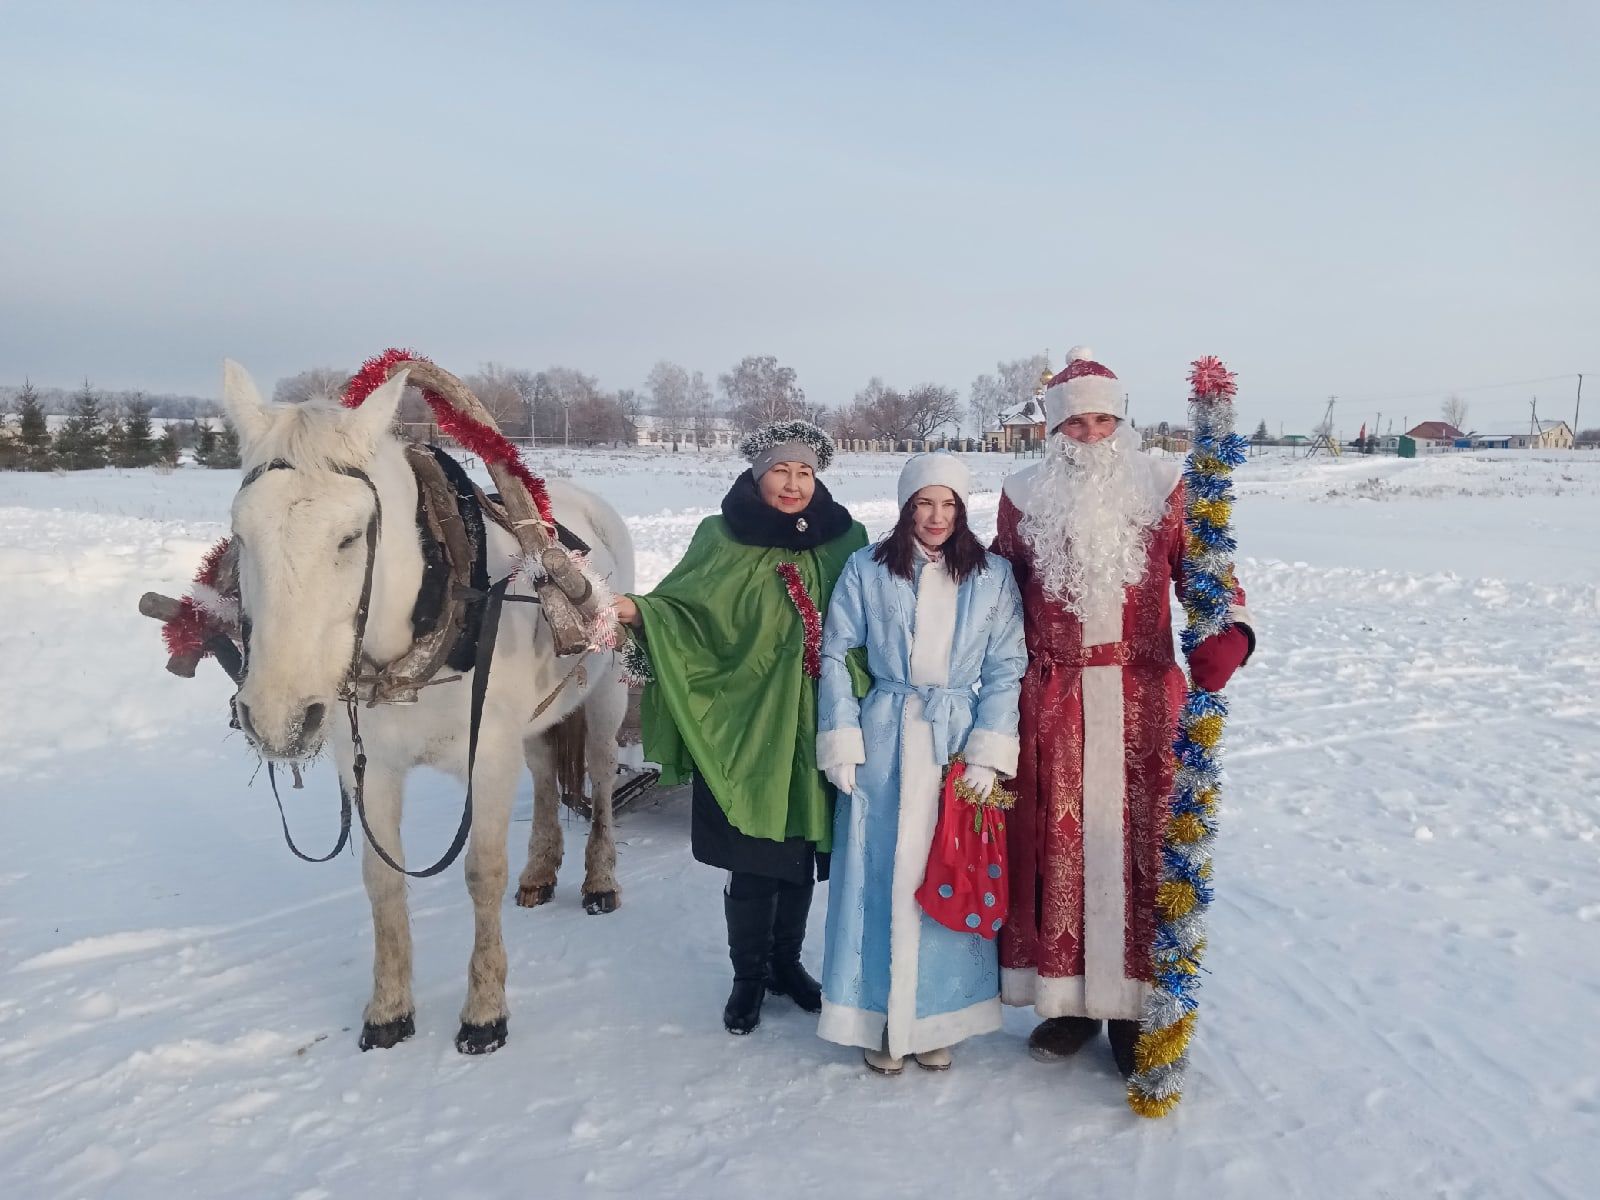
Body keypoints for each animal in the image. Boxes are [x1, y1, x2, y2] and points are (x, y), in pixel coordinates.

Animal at [220, 364, 630, 1049]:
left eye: (349, 536)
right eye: (239, 533)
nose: (278, 718)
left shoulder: (487, 758)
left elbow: (481, 872)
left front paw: (485, 1011)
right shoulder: (371, 768)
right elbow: (382, 882)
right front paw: (389, 1011)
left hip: (606, 696)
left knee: (599, 782)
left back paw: (600, 881)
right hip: (532, 724)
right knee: (547, 777)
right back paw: (540, 871)